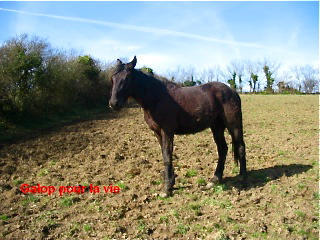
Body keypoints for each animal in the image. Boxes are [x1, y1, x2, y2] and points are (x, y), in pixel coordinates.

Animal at [109, 56, 246, 197]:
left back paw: (241, 180)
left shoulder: (167, 131)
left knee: (240, 147)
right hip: (217, 126)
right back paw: (214, 180)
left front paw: (167, 189)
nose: (114, 103)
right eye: (112, 78)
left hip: (234, 125)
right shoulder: (158, 132)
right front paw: (170, 183)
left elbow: (167, 156)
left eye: (127, 77)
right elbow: (165, 155)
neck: (156, 97)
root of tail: (233, 92)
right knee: (222, 149)